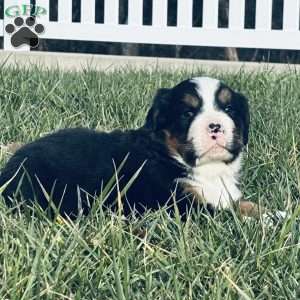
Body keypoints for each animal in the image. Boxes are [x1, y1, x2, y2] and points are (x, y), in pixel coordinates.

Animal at [0, 77, 258, 218]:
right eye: (187, 113)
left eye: (229, 109)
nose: (215, 126)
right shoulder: (180, 206)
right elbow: (232, 211)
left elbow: (245, 204)